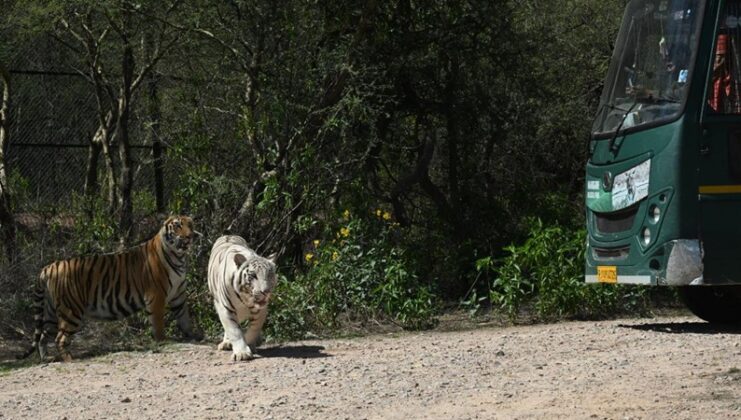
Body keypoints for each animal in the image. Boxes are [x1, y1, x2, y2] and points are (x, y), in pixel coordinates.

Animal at [20, 215, 201, 362]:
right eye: (177, 225)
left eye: (190, 225)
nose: (189, 236)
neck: (178, 256)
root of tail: (49, 267)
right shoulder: (156, 296)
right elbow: (158, 323)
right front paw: (163, 341)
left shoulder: (178, 294)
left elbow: (184, 317)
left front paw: (193, 335)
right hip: (71, 311)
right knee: (60, 338)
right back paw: (70, 360)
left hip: (51, 311)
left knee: (43, 336)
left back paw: (46, 359)